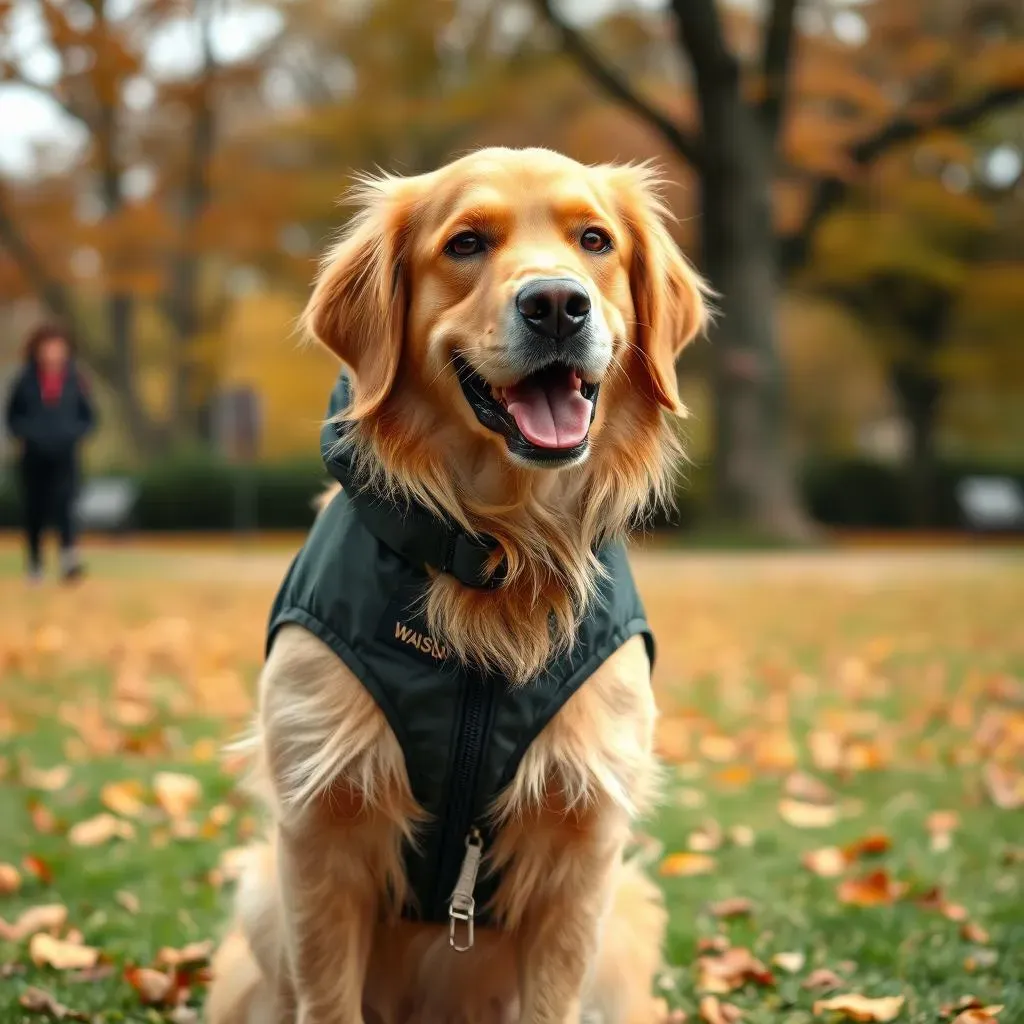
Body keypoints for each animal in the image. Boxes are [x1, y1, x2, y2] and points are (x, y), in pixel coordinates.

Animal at [204, 146, 708, 1024]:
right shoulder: (318, 824)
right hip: (262, 895)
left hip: (628, 921)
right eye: (466, 243)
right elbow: (328, 998)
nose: (557, 305)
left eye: (595, 240)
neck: (501, 549)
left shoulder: (584, 841)